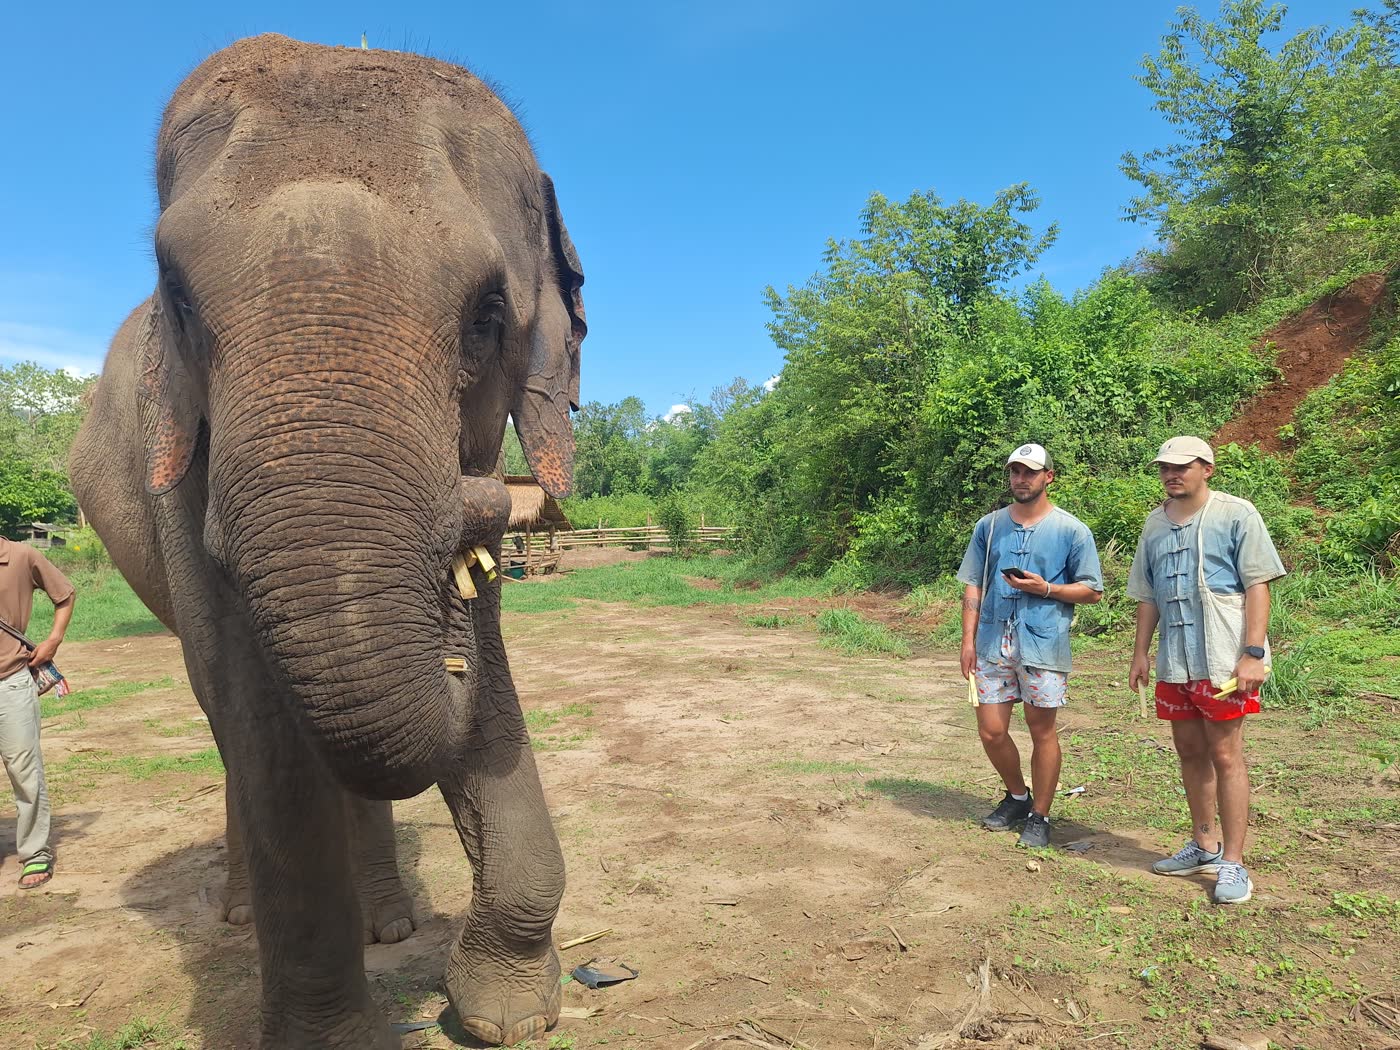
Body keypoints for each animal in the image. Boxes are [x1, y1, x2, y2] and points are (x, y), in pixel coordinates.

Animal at [69, 34, 586, 1050]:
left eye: (488, 315)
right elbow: (259, 713)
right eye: (177, 300)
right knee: (223, 716)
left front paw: (508, 1010)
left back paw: (393, 923)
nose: (485, 502)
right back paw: (242, 911)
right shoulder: (179, 463)